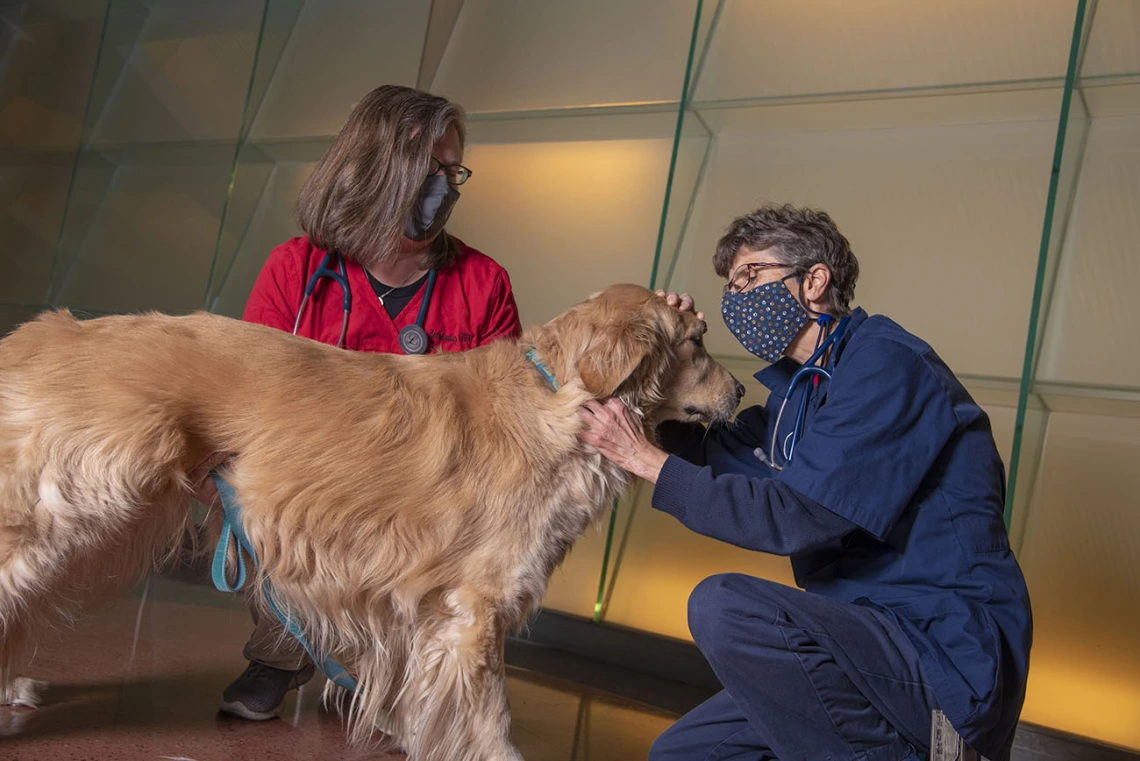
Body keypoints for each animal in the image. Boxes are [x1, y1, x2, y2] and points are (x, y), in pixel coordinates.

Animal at [0, 282, 743, 756]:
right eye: (697, 342)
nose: (741, 389)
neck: (557, 396)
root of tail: (45, 328)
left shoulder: (439, 618)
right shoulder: (475, 608)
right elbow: (487, 719)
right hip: (64, 516)